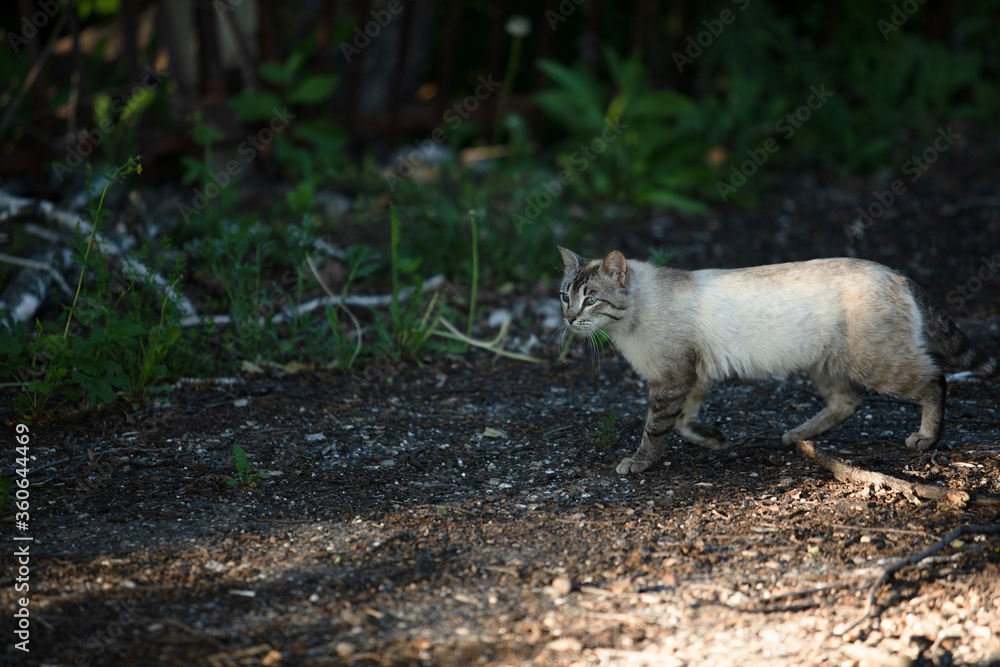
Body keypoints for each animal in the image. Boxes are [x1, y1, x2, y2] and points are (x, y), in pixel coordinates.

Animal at [560, 247, 996, 474]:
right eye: (565, 296)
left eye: (591, 299)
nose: (567, 318)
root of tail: (897, 275)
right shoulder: (693, 377)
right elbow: (684, 422)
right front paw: (715, 439)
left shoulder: (672, 379)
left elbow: (655, 429)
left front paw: (638, 462)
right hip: (825, 365)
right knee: (849, 401)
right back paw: (796, 436)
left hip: (877, 364)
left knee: (935, 380)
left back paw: (926, 439)